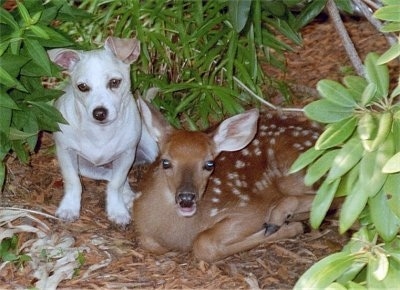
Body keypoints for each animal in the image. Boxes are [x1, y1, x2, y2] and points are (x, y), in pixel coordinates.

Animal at [48, 36, 158, 227]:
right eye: (82, 87)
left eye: (114, 82)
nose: (99, 113)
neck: (100, 132)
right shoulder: (66, 153)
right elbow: (73, 181)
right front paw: (69, 207)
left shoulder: (127, 154)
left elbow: (116, 184)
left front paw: (117, 210)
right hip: (85, 167)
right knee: (108, 174)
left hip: (150, 150)